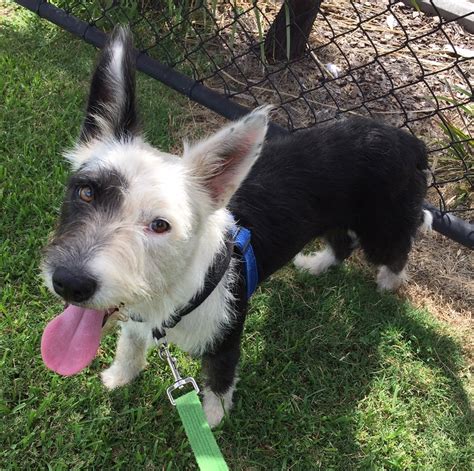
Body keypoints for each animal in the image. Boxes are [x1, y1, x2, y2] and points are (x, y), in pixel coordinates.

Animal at [41, 27, 430, 430]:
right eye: (86, 192)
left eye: (160, 225)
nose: (70, 283)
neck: (173, 294)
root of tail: (410, 142)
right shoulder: (137, 318)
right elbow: (131, 344)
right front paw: (121, 375)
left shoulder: (226, 334)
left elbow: (219, 377)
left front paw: (211, 418)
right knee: (342, 242)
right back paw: (317, 264)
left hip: (383, 224)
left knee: (396, 248)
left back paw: (388, 282)